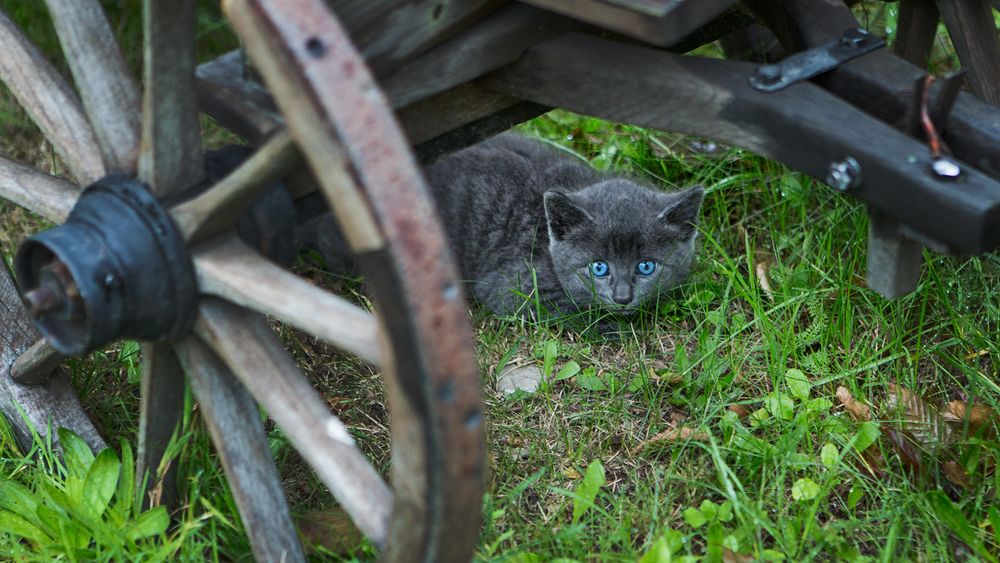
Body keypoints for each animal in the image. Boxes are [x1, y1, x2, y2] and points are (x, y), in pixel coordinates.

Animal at [304, 131, 704, 318]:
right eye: (599, 268)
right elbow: (573, 311)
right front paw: (608, 324)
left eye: (646, 266)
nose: (623, 297)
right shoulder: (515, 287)